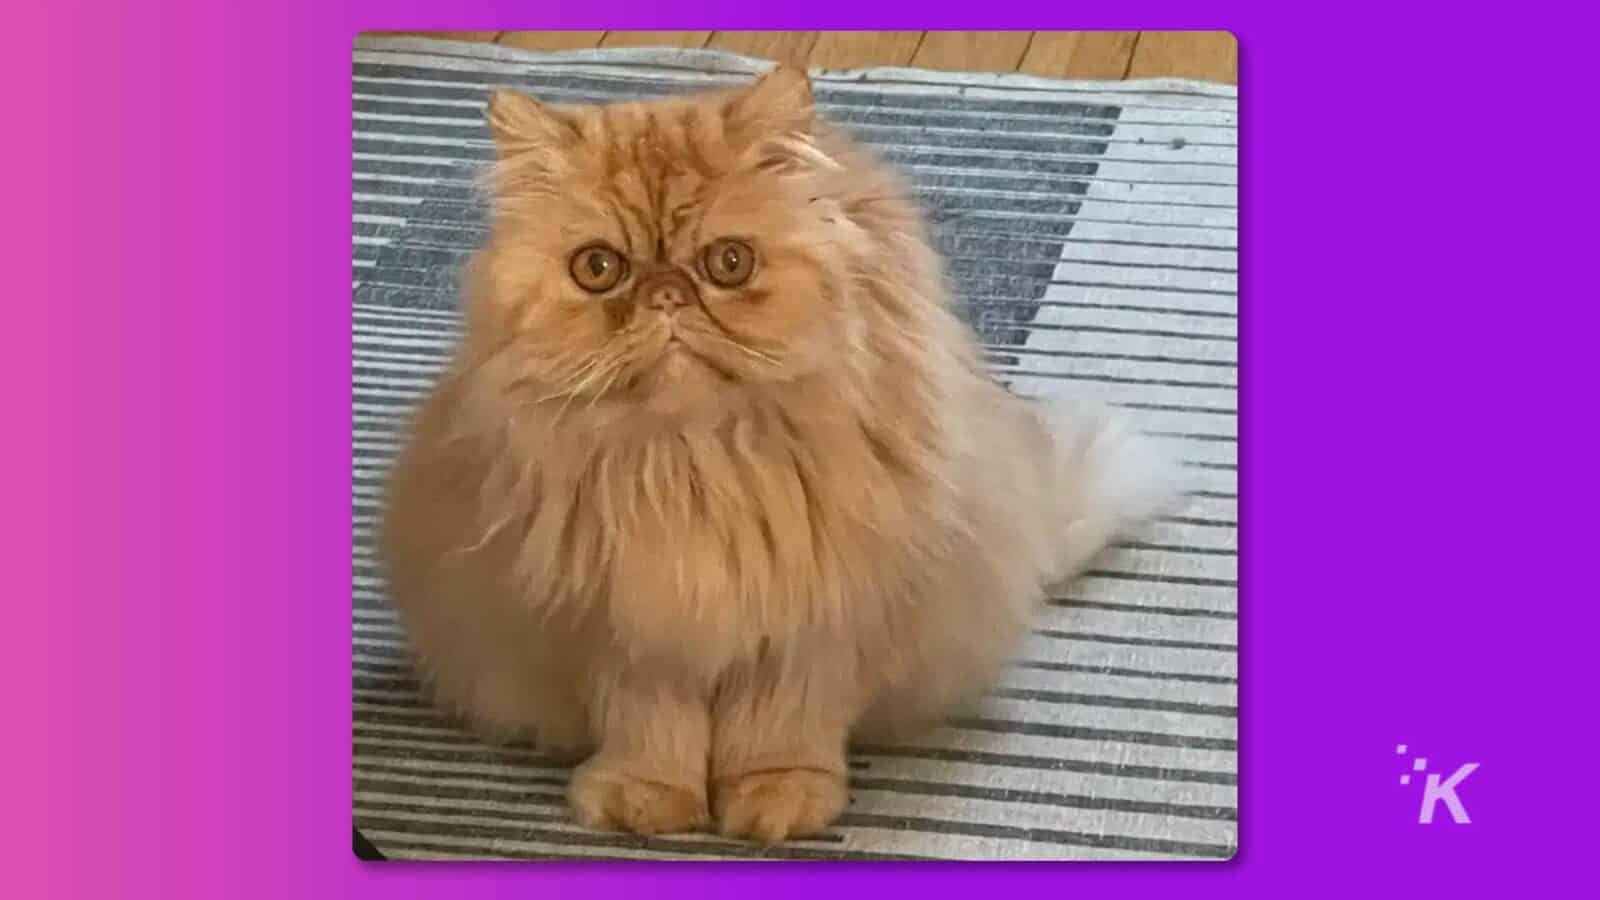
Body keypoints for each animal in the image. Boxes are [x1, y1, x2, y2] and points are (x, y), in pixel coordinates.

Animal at [374, 64, 1177, 839]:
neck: (694, 465)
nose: (667, 295)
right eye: (598, 269)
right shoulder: (627, 629)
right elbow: (648, 728)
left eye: (729, 262)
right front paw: (649, 797)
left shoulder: (813, 619)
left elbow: (780, 729)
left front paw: (776, 797)